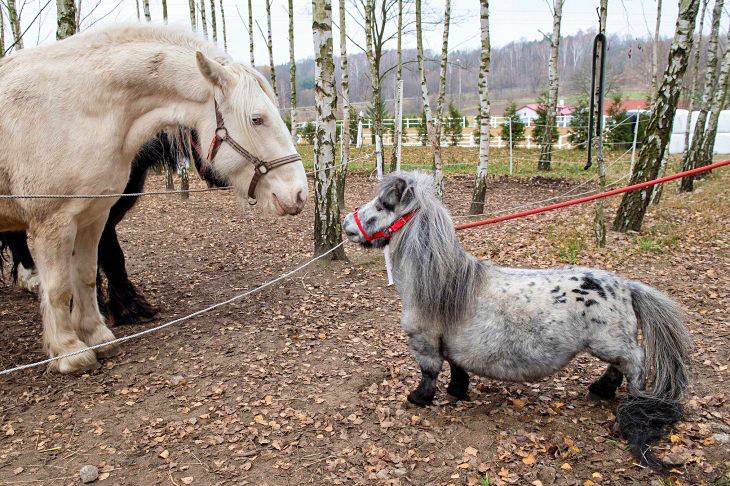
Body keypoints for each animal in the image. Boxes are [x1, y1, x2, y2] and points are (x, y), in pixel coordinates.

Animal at [342, 171, 691, 473]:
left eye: (381, 206)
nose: (346, 222)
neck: (444, 284)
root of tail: (627, 286)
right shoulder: (452, 345)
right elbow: (456, 366)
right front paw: (457, 391)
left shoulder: (424, 342)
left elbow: (429, 372)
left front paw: (419, 399)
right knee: (618, 367)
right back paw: (600, 390)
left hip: (611, 344)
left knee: (635, 362)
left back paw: (631, 401)